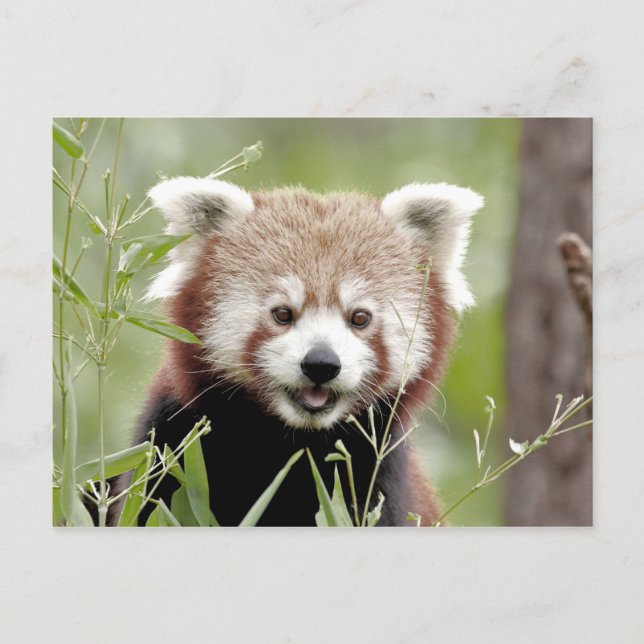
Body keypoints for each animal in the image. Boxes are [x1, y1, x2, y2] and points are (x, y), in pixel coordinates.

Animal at [110, 178, 483, 526]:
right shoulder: (172, 446)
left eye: (359, 318)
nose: (321, 364)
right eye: (283, 314)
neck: (292, 444)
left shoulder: (377, 479)